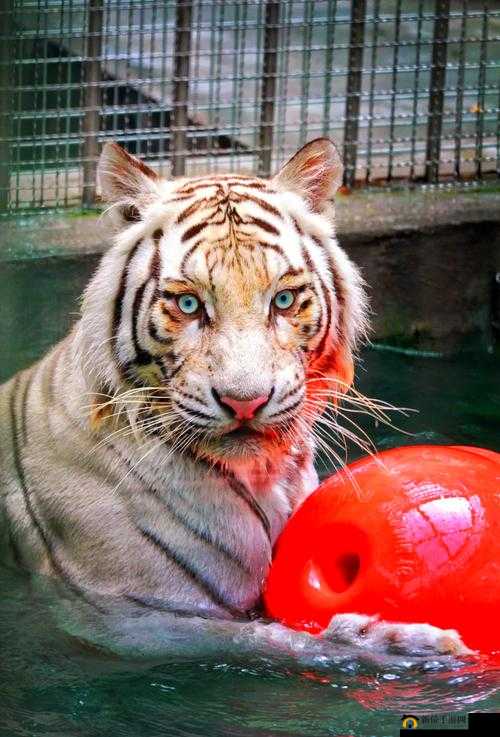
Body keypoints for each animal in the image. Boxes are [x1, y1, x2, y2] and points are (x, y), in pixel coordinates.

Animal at [0, 138, 469, 661]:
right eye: (188, 304)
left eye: (283, 300)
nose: (245, 402)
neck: (264, 478)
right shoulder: (129, 618)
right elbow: (263, 638)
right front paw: (402, 645)